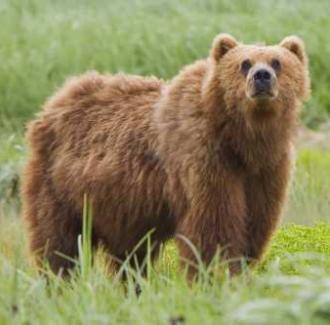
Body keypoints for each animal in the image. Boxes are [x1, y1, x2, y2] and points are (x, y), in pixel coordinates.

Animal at [21, 32, 310, 276]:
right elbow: (213, 226)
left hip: (122, 206)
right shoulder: (204, 159)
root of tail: (55, 100)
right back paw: (59, 281)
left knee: (130, 256)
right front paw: (214, 274)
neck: (242, 140)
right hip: (60, 185)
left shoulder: (267, 169)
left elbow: (254, 224)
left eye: (277, 62)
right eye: (244, 63)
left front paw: (240, 270)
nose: (262, 76)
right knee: (59, 242)